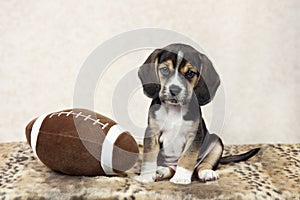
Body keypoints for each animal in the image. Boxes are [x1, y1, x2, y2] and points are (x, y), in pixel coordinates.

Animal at [134, 43, 260, 184]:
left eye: (190, 73)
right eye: (165, 70)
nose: (174, 90)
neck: (175, 109)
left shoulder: (194, 135)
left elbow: (187, 158)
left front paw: (181, 178)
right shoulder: (152, 132)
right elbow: (149, 157)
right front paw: (146, 177)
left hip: (216, 142)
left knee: (202, 165)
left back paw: (207, 173)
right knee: (170, 168)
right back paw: (160, 172)